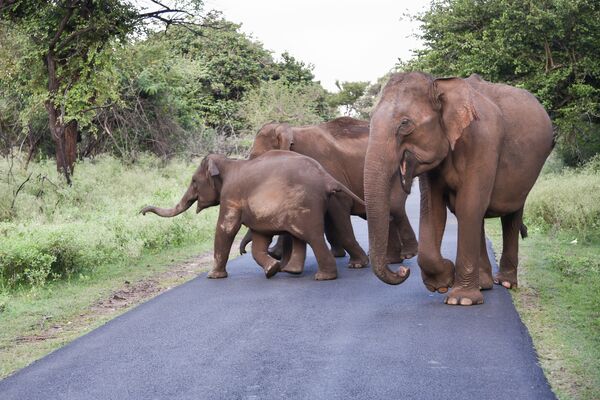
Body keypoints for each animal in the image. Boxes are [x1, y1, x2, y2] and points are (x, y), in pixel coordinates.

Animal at [141, 151, 366, 282]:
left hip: (305, 204)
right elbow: (259, 238)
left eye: (194, 181)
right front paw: (272, 270)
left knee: (312, 236)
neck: (228, 163)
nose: (142, 212)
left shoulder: (231, 194)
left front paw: (213, 277)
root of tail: (325, 177)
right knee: (301, 236)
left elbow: (226, 228)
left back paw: (323, 277)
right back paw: (292, 271)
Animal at [246, 115, 420, 266]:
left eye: (257, 158)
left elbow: (338, 208)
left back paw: (404, 255)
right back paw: (390, 259)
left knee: (395, 208)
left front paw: (357, 264)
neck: (291, 129)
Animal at [360, 72, 552, 306]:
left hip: (527, 173)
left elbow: (468, 205)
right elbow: (433, 209)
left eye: (405, 123)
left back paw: (505, 283)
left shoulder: (483, 141)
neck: (438, 85)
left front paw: (461, 300)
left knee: (510, 213)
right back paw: (484, 284)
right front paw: (443, 284)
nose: (403, 270)